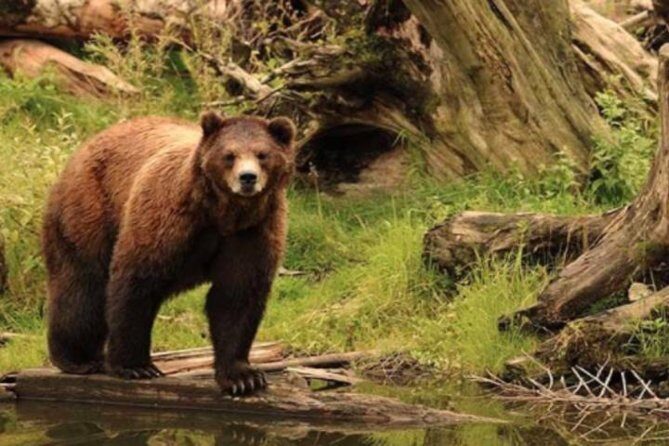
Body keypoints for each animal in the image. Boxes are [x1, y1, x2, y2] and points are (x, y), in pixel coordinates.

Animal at [42, 112, 296, 395]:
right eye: (229, 155)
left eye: (262, 154)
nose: (248, 177)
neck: (222, 213)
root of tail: (87, 144)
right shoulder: (169, 218)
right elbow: (137, 282)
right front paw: (137, 366)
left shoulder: (253, 231)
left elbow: (236, 296)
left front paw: (243, 377)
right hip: (91, 208)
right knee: (83, 284)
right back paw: (77, 358)